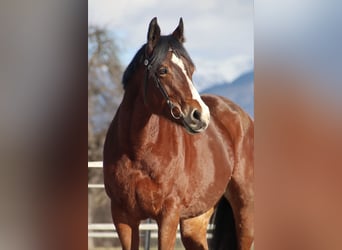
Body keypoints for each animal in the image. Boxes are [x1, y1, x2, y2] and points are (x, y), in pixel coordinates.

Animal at [103, 17, 252, 250]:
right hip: (194, 221)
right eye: (162, 70)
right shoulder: (123, 217)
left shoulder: (168, 216)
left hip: (245, 210)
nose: (200, 116)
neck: (138, 150)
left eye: (191, 69)